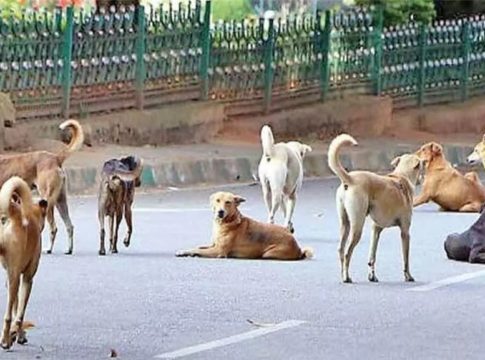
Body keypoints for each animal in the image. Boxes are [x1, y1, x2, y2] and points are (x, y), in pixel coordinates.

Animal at [0, 119, 83, 255]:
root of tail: (55, 157)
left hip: (47, 199)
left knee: (52, 228)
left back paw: (48, 249)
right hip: (60, 200)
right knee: (69, 226)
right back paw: (69, 249)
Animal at [0, 176, 47, 350]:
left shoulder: (9, 279)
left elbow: (16, 308)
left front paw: (17, 334)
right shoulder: (26, 278)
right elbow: (19, 313)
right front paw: (18, 335)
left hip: (12, 277)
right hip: (15, 276)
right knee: (7, 316)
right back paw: (5, 341)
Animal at [176, 191, 312, 258]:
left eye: (228, 202)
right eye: (217, 200)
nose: (220, 212)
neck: (228, 221)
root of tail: (298, 248)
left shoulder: (218, 251)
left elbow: (198, 249)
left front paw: (190, 252)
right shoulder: (213, 245)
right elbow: (198, 247)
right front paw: (186, 251)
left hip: (269, 253)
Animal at [328, 134, 422, 282]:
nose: (421, 179)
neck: (401, 177)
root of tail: (350, 179)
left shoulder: (376, 229)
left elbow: (372, 255)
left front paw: (372, 275)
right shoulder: (405, 232)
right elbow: (406, 259)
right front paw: (408, 276)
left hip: (345, 224)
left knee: (341, 249)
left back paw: (343, 274)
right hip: (357, 227)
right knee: (348, 252)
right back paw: (346, 277)